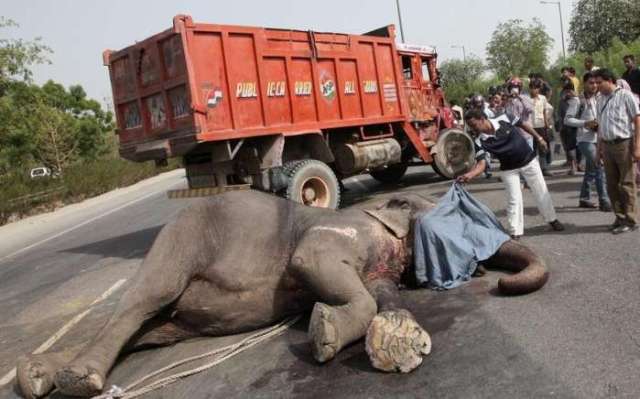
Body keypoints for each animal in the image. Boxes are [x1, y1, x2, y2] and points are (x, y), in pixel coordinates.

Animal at [15, 189, 548, 398]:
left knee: (149, 331)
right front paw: (325, 334)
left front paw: (395, 344)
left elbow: (381, 295)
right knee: (143, 299)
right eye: (460, 222)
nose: (494, 277)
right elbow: (314, 263)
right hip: (182, 234)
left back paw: (36, 375)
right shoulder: (343, 229)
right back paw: (77, 378)